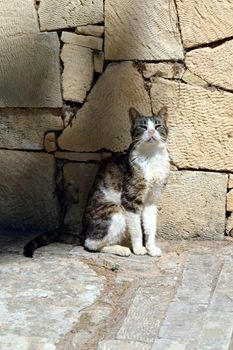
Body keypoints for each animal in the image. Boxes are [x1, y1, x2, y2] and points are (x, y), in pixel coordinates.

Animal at [23, 106, 169, 258]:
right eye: (143, 126)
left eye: (157, 126)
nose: (151, 131)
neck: (151, 157)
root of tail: (84, 232)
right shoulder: (130, 200)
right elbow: (136, 229)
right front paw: (139, 248)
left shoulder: (152, 200)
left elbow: (150, 227)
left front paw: (151, 248)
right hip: (115, 210)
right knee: (91, 244)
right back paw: (121, 249)